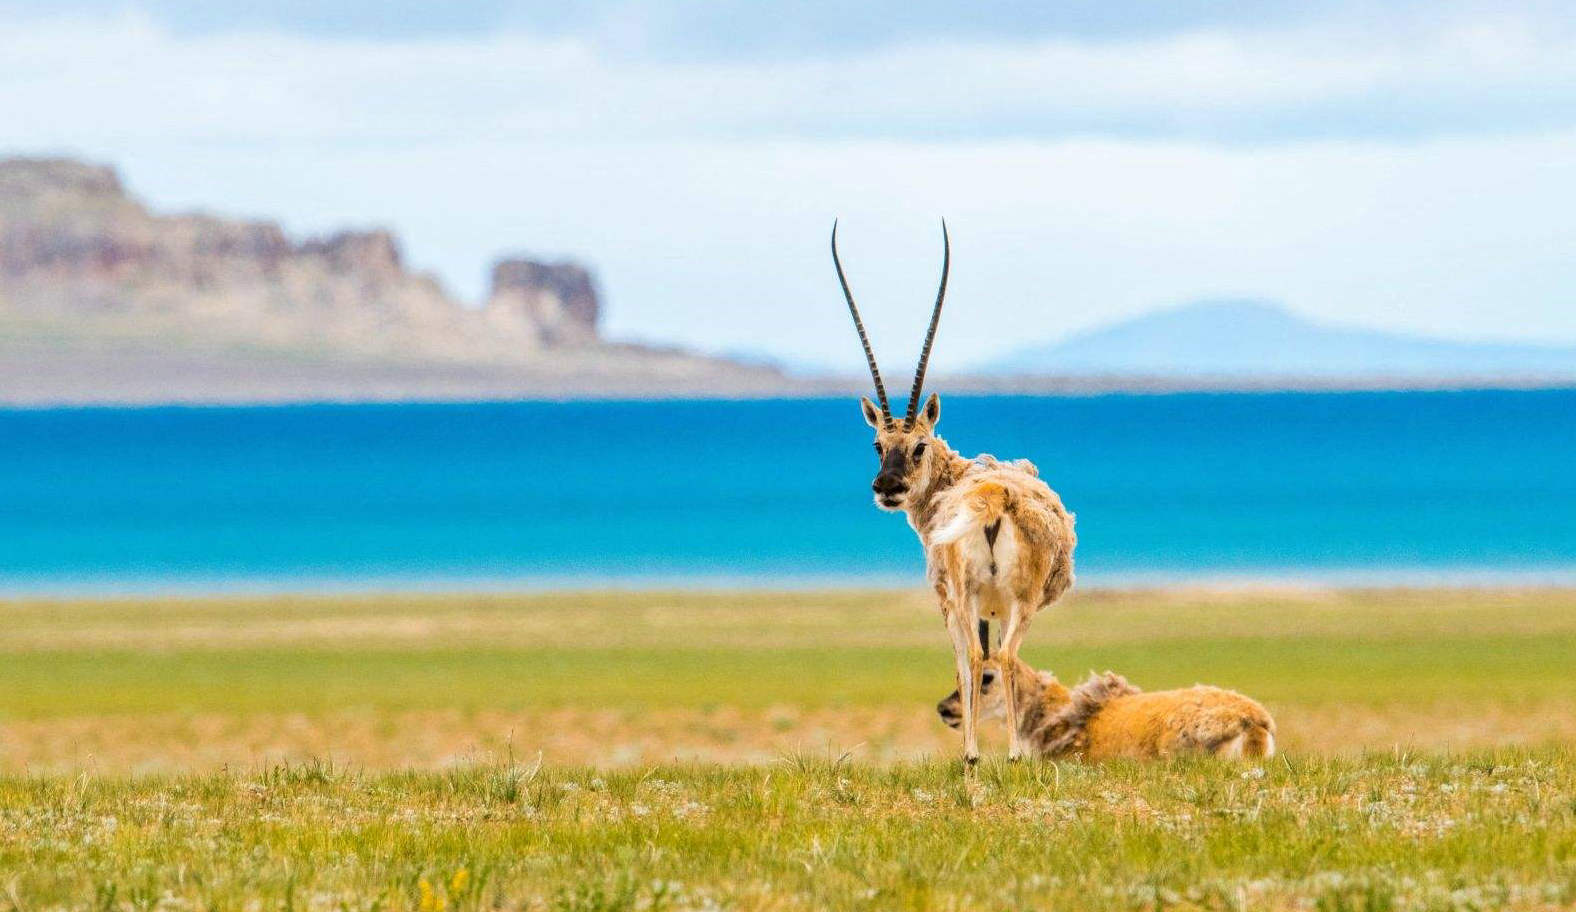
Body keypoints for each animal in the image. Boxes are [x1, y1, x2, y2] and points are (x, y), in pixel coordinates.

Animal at [832, 220, 1077, 762]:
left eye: (919, 445)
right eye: (878, 444)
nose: (887, 487)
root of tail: (995, 497)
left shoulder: (948, 602)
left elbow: (967, 663)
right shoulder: (989, 607)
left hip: (973, 597)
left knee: (985, 655)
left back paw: (979, 754)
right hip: (1011, 601)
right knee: (1001, 654)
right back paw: (1004, 752)